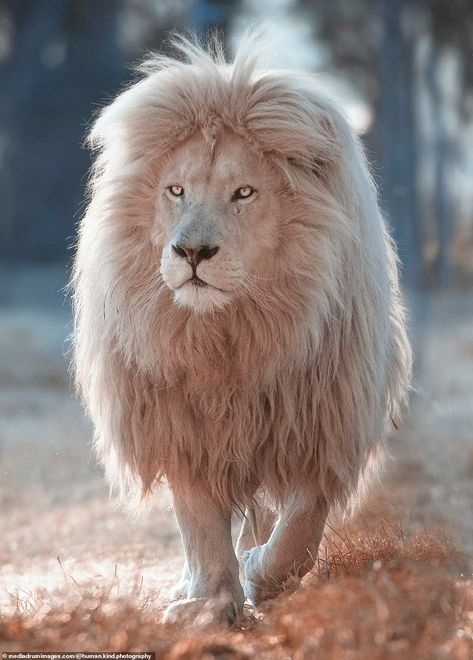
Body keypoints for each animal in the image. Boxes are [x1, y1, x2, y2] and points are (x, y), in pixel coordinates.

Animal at [70, 34, 410, 624]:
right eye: (176, 190)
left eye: (244, 193)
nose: (191, 252)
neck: (231, 334)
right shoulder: (184, 427)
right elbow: (201, 525)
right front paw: (210, 605)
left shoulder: (322, 424)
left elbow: (299, 531)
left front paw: (262, 576)